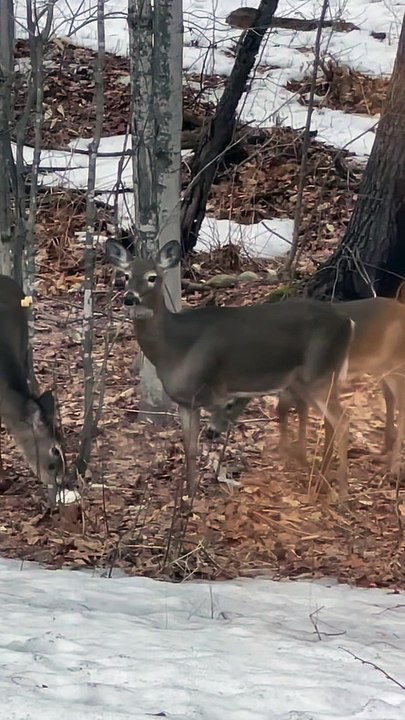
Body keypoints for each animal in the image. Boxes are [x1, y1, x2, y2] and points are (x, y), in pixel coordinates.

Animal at [105, 238, 355, 499]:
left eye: (152, 277)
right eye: (125, 275)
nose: (129, 298)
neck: (174, 346)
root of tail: (348, 322)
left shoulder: (214, 393)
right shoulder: (186, 402)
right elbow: (190, 449)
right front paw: (189, 495)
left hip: (318, 376)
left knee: (343, 421)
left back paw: (342, 494)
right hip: (317, 379)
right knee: (330, 422)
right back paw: (322, 477)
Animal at [209, 297, 405, 478]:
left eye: (228, 404)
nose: (210, 433)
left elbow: (294, 411)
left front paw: (298, 456)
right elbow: (288, 410)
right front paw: (298, 454)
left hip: (396, 368)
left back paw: (393, 468)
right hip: (381, 370)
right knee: (390, 398)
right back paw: (384, 448)